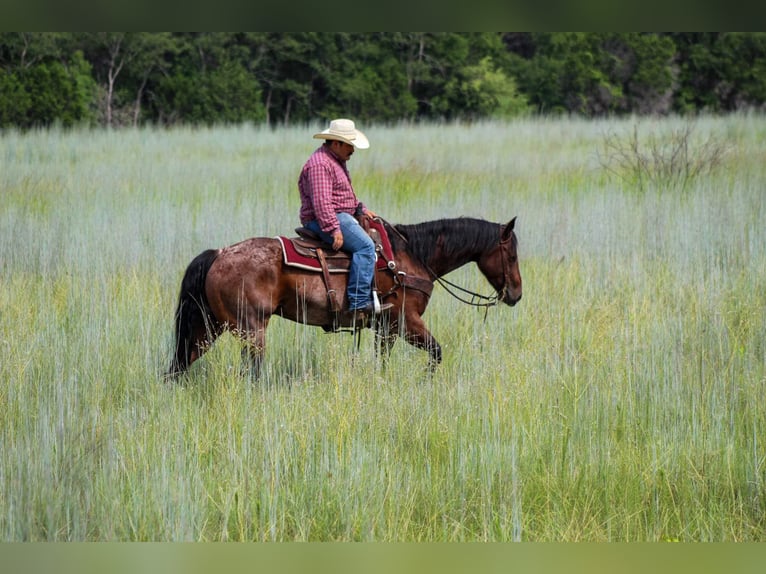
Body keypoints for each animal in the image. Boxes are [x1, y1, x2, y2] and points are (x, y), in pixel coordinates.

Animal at [166, 216, 521, 379]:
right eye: (512, 254)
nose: (516, 294)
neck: (411, 258)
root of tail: (220, 253)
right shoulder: (406, 322)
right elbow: (436, 352)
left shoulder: (386, 328)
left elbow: (382, 361)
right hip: (250, 329)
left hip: (208, 327)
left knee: (180, 365)